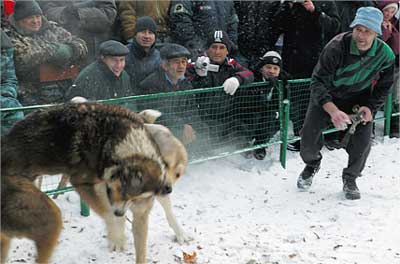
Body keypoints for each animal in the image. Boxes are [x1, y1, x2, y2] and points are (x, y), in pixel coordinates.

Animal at [0, 102, 189, 262]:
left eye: (135, 198)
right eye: (120, 190)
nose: (168, 188)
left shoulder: (140, 211)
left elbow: (140, 250)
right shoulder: (84, 183)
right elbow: (109, 216)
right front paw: (117, 236)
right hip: (49, 217)